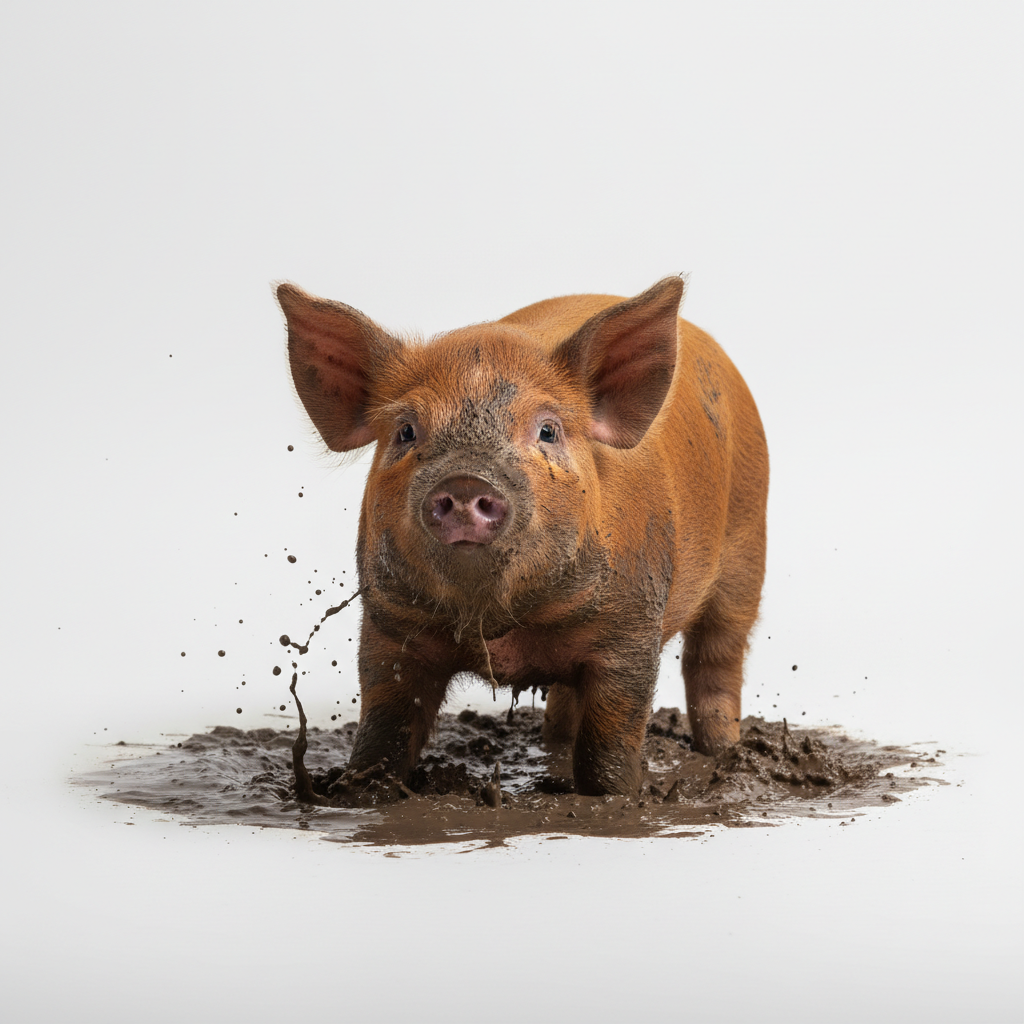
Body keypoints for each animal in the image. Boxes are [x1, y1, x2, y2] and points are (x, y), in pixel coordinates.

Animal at [277, 277, 768, 796]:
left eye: (548, 430)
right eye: (406, 431)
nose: (466, 482)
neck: (503, 630)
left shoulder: (632, 627)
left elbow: (610, 740)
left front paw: (614, 797)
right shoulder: (389, 622)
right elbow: (384, 729)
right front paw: (359, 792)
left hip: (747, 545)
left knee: (716, 659)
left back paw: (724, 754)